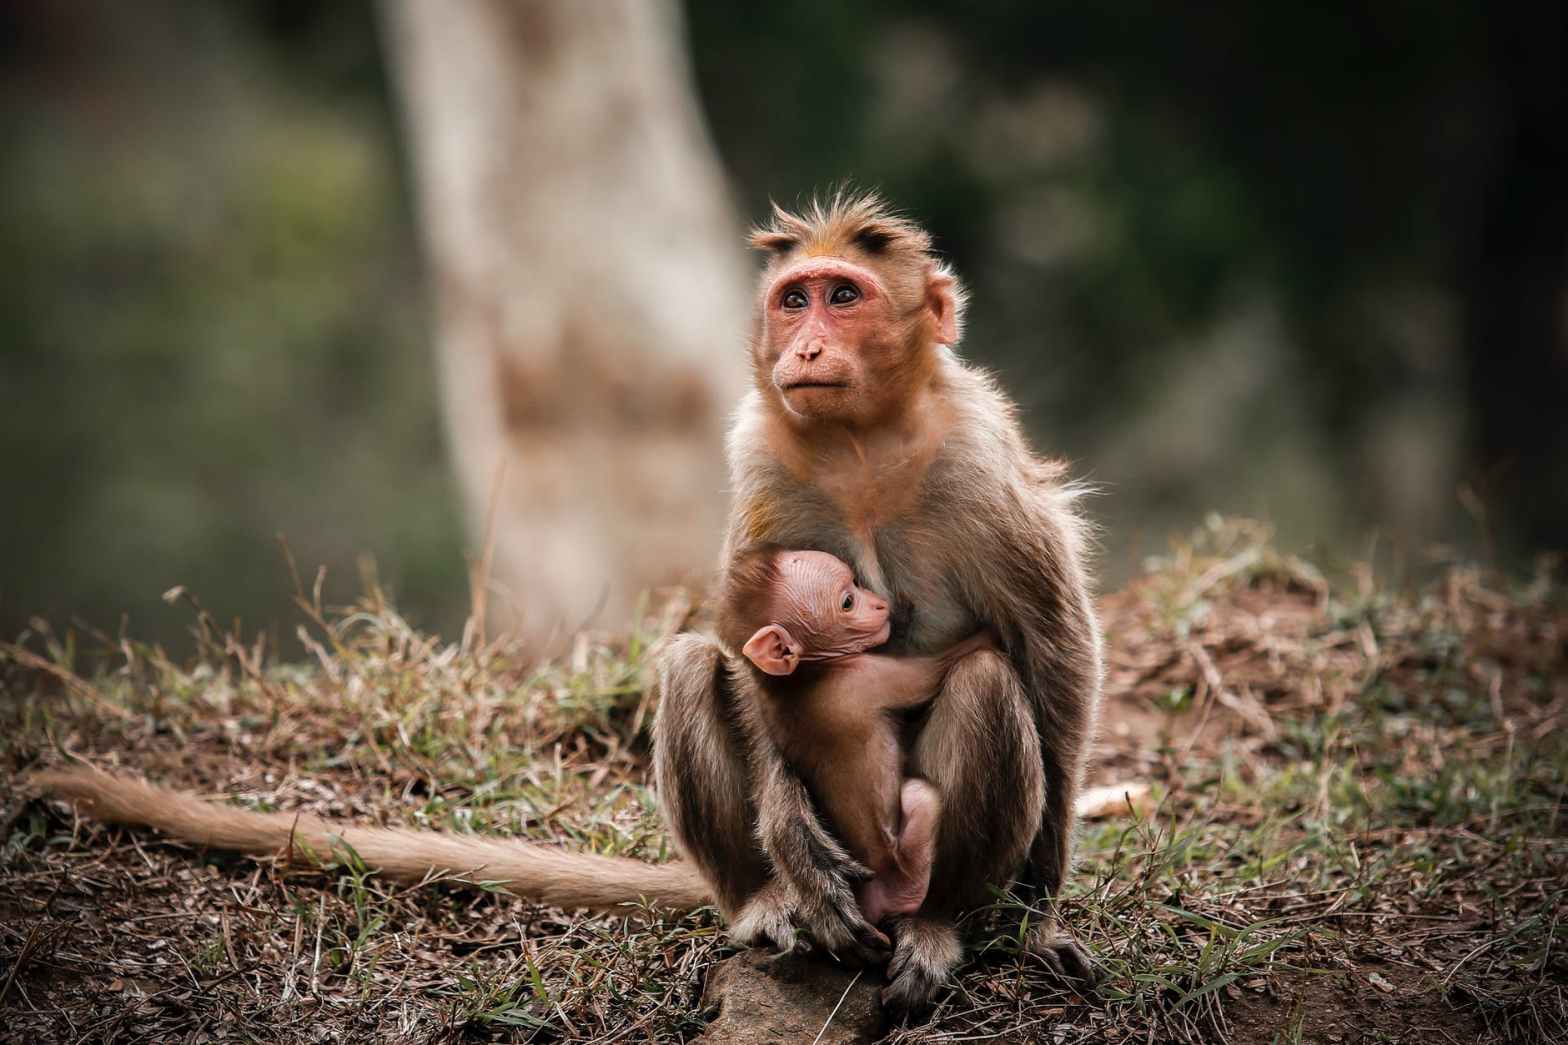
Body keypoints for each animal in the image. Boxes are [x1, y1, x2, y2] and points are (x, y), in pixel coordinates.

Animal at [716, 544, 994, 925]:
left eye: (857, 584)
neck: (806, 671)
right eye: (848, 602)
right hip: (900, 862)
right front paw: (989, 634)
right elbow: (936, 669)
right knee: (921, 797)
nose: (879, 604)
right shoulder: (865, 675)